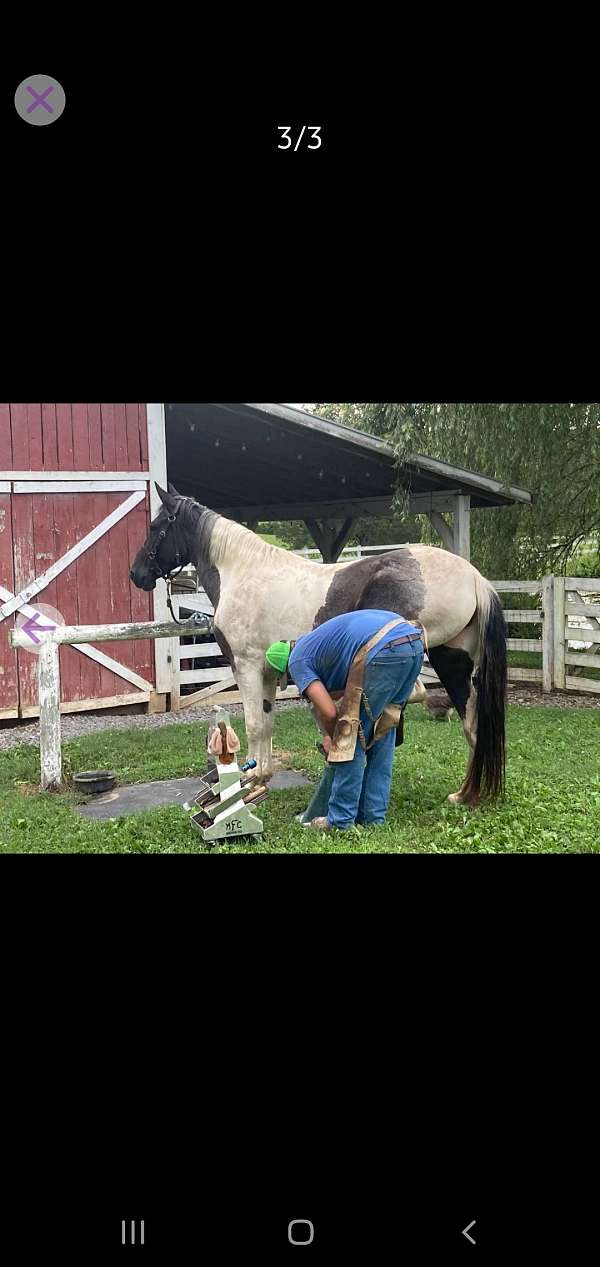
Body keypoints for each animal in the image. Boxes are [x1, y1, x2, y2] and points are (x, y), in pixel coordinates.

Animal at [131, 481, 506, 800]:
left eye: (156, 527)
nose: (136, 574)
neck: (243, 574)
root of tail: (474, 577)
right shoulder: (267, 672)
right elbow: (267, 722)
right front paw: (261, 776)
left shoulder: (247, 667)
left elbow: (254, 724)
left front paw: (249, 782)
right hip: (452, 659)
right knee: (471, 723)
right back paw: (465, 795)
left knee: (418, 694)